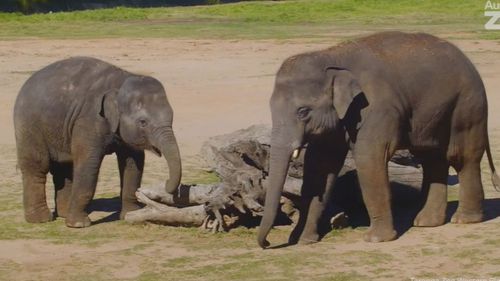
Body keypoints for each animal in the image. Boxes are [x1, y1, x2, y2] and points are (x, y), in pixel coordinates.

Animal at [13, 57, 182, 228]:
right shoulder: (89, 120)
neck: (121, 80)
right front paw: (79, 224)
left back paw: (63, 214)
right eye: (143, 122)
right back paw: (40, 219)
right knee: (37, 167)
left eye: (172, 116)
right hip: (28, 125)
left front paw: (130, 215)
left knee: (64, 168)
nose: (167, 183)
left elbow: (134, 164)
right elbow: (89, 164)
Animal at [258, 31, 500, 247]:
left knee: (461, 157)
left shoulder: (376, 108)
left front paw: (376, 239)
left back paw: (464, 219)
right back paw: (426, 222)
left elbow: (369, 159)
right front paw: (304, 240)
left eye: (303, 111)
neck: (331, 55)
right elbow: (319, 167)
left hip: (467, 106)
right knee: (432, 159)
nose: (268, 242)